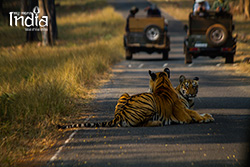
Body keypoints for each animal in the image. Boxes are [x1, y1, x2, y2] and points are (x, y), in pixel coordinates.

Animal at [57, 68, 214, 129]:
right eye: (187, 86)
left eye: (195, 86)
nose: (192, 94)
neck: (163, 84)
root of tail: (119, 115)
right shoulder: (183, 115)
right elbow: (193, 114)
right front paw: (204, 118)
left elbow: (197, 112)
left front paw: (207, 116)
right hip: (149, 102)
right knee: (141, 124)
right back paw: (157, 123)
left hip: (125, 93)